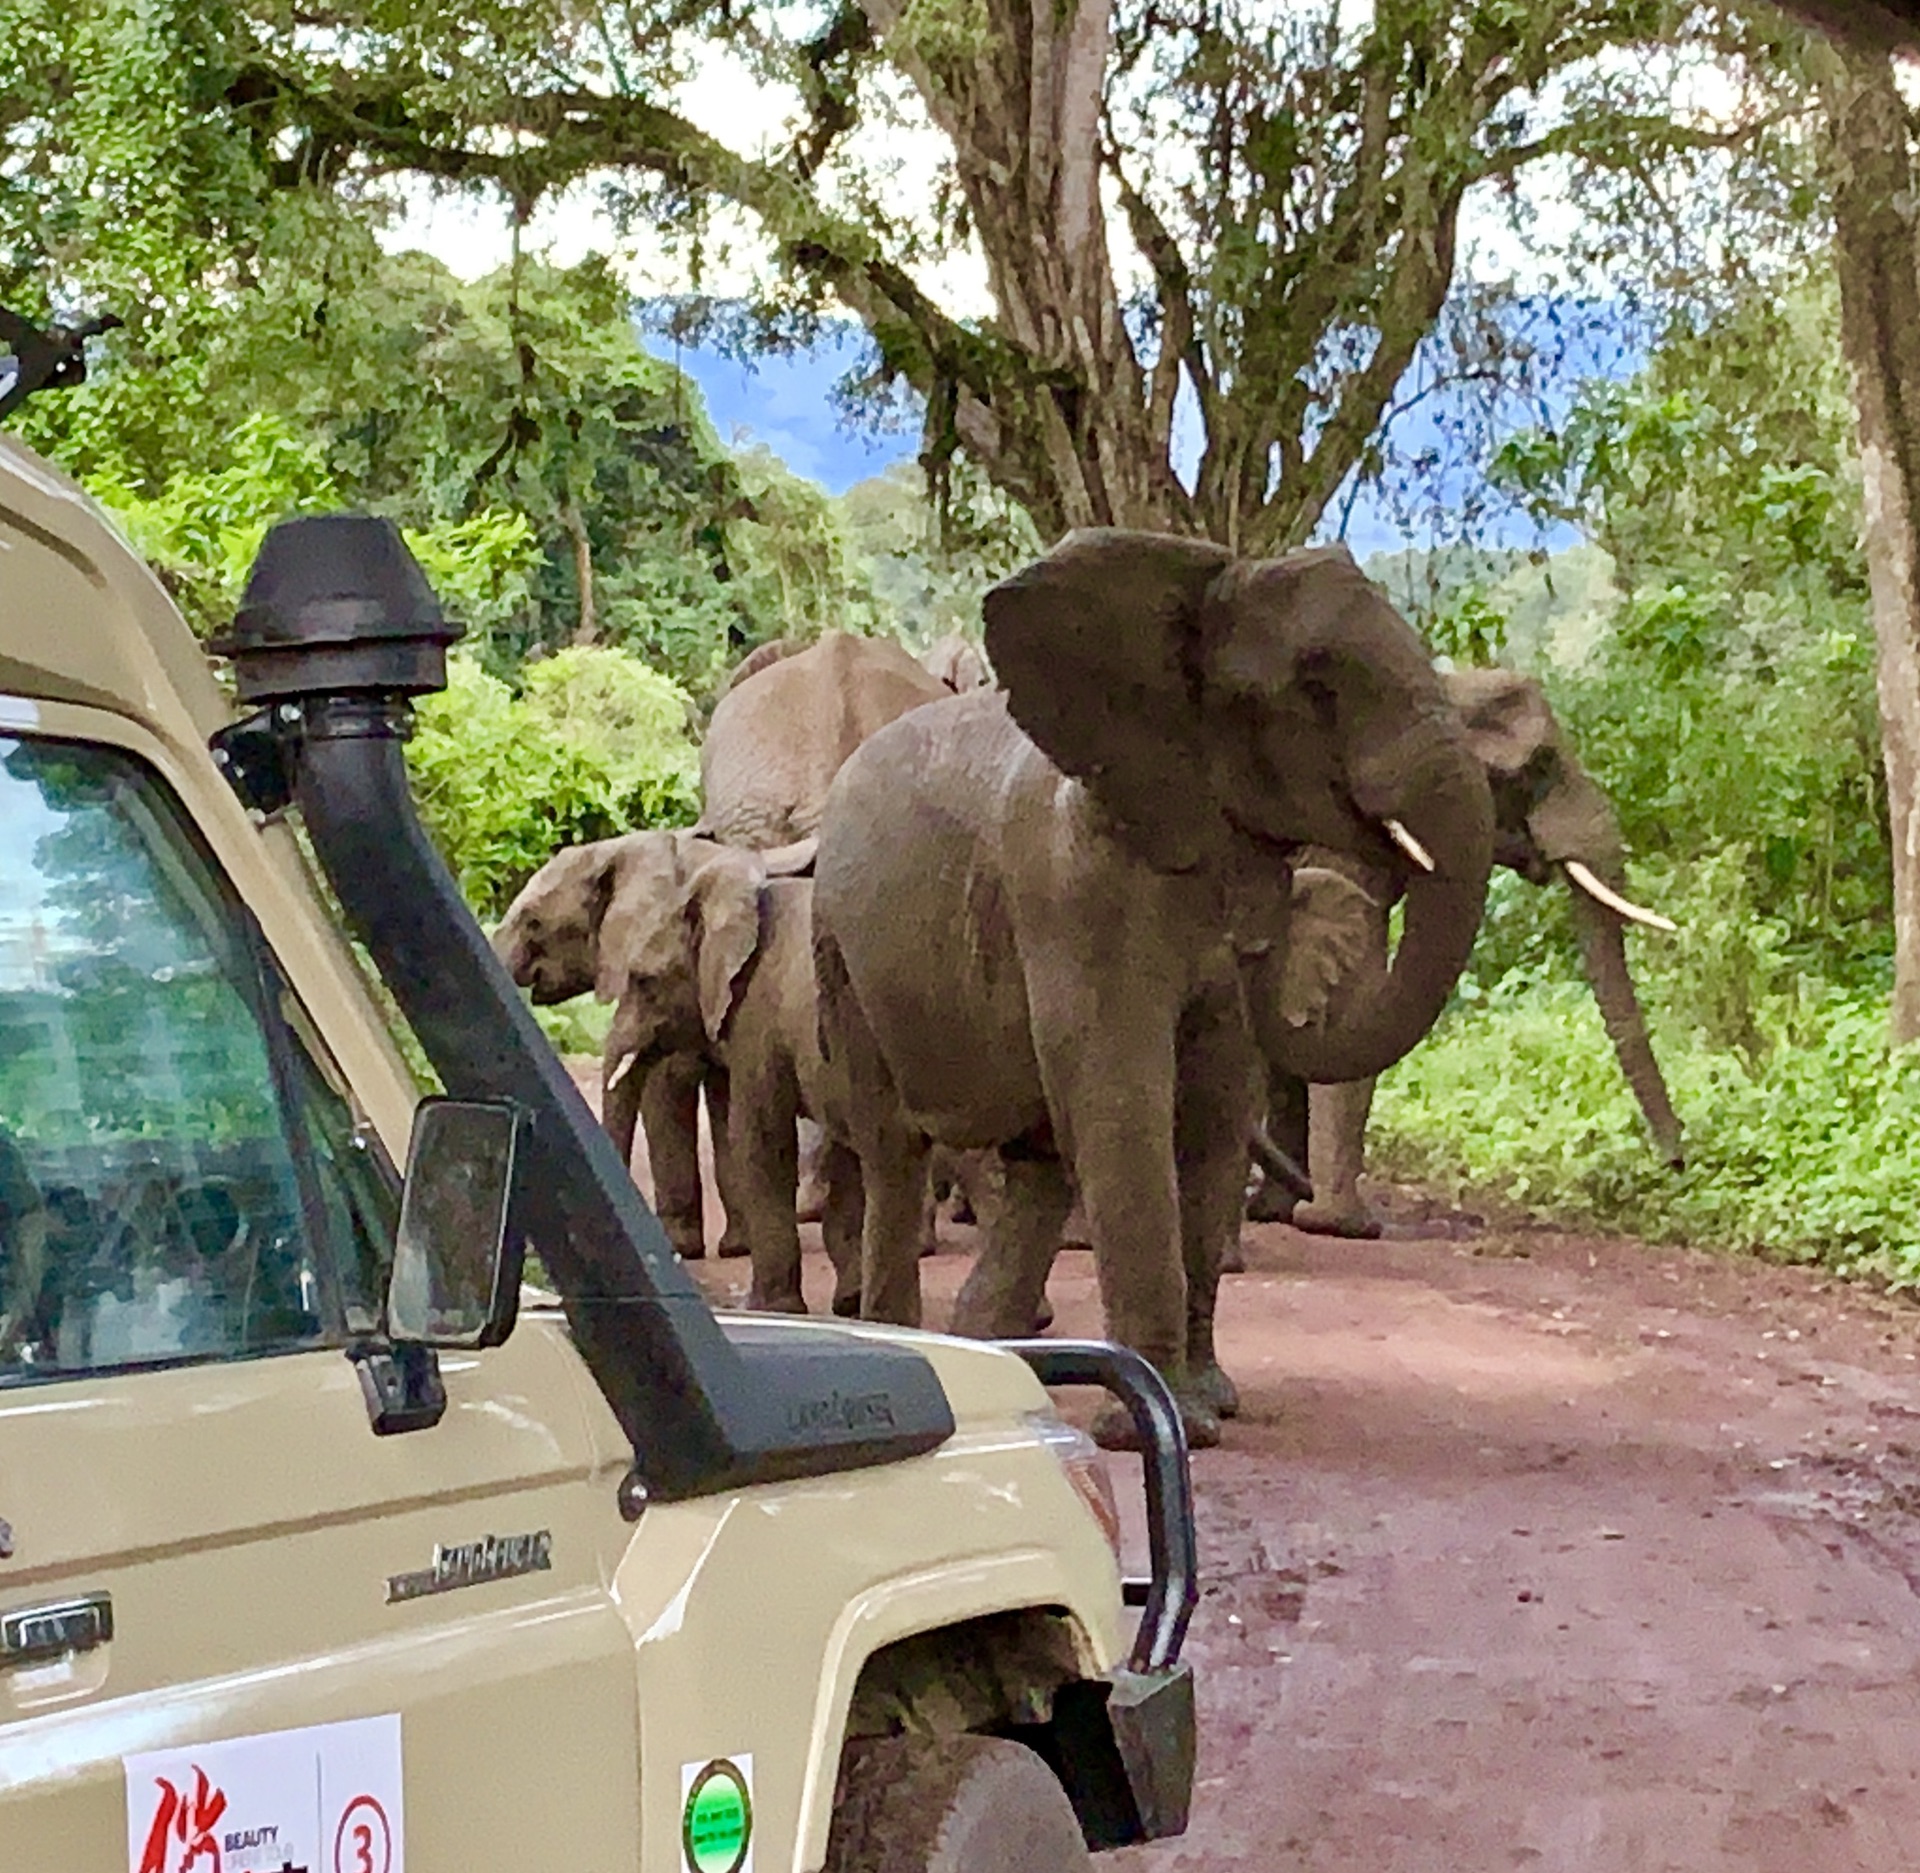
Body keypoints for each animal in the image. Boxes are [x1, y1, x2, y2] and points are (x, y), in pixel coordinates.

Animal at [810, 525, 1497, 1450]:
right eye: (1316, 689)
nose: (1256, 944)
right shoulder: (1072, 890)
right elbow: (1124, 1105)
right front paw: (1156, 1429)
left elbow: (1213, 1111)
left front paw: (1206, 1403)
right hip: (840, 953)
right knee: (894, 1151)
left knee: (1037, 1167)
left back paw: (1007, 1359)